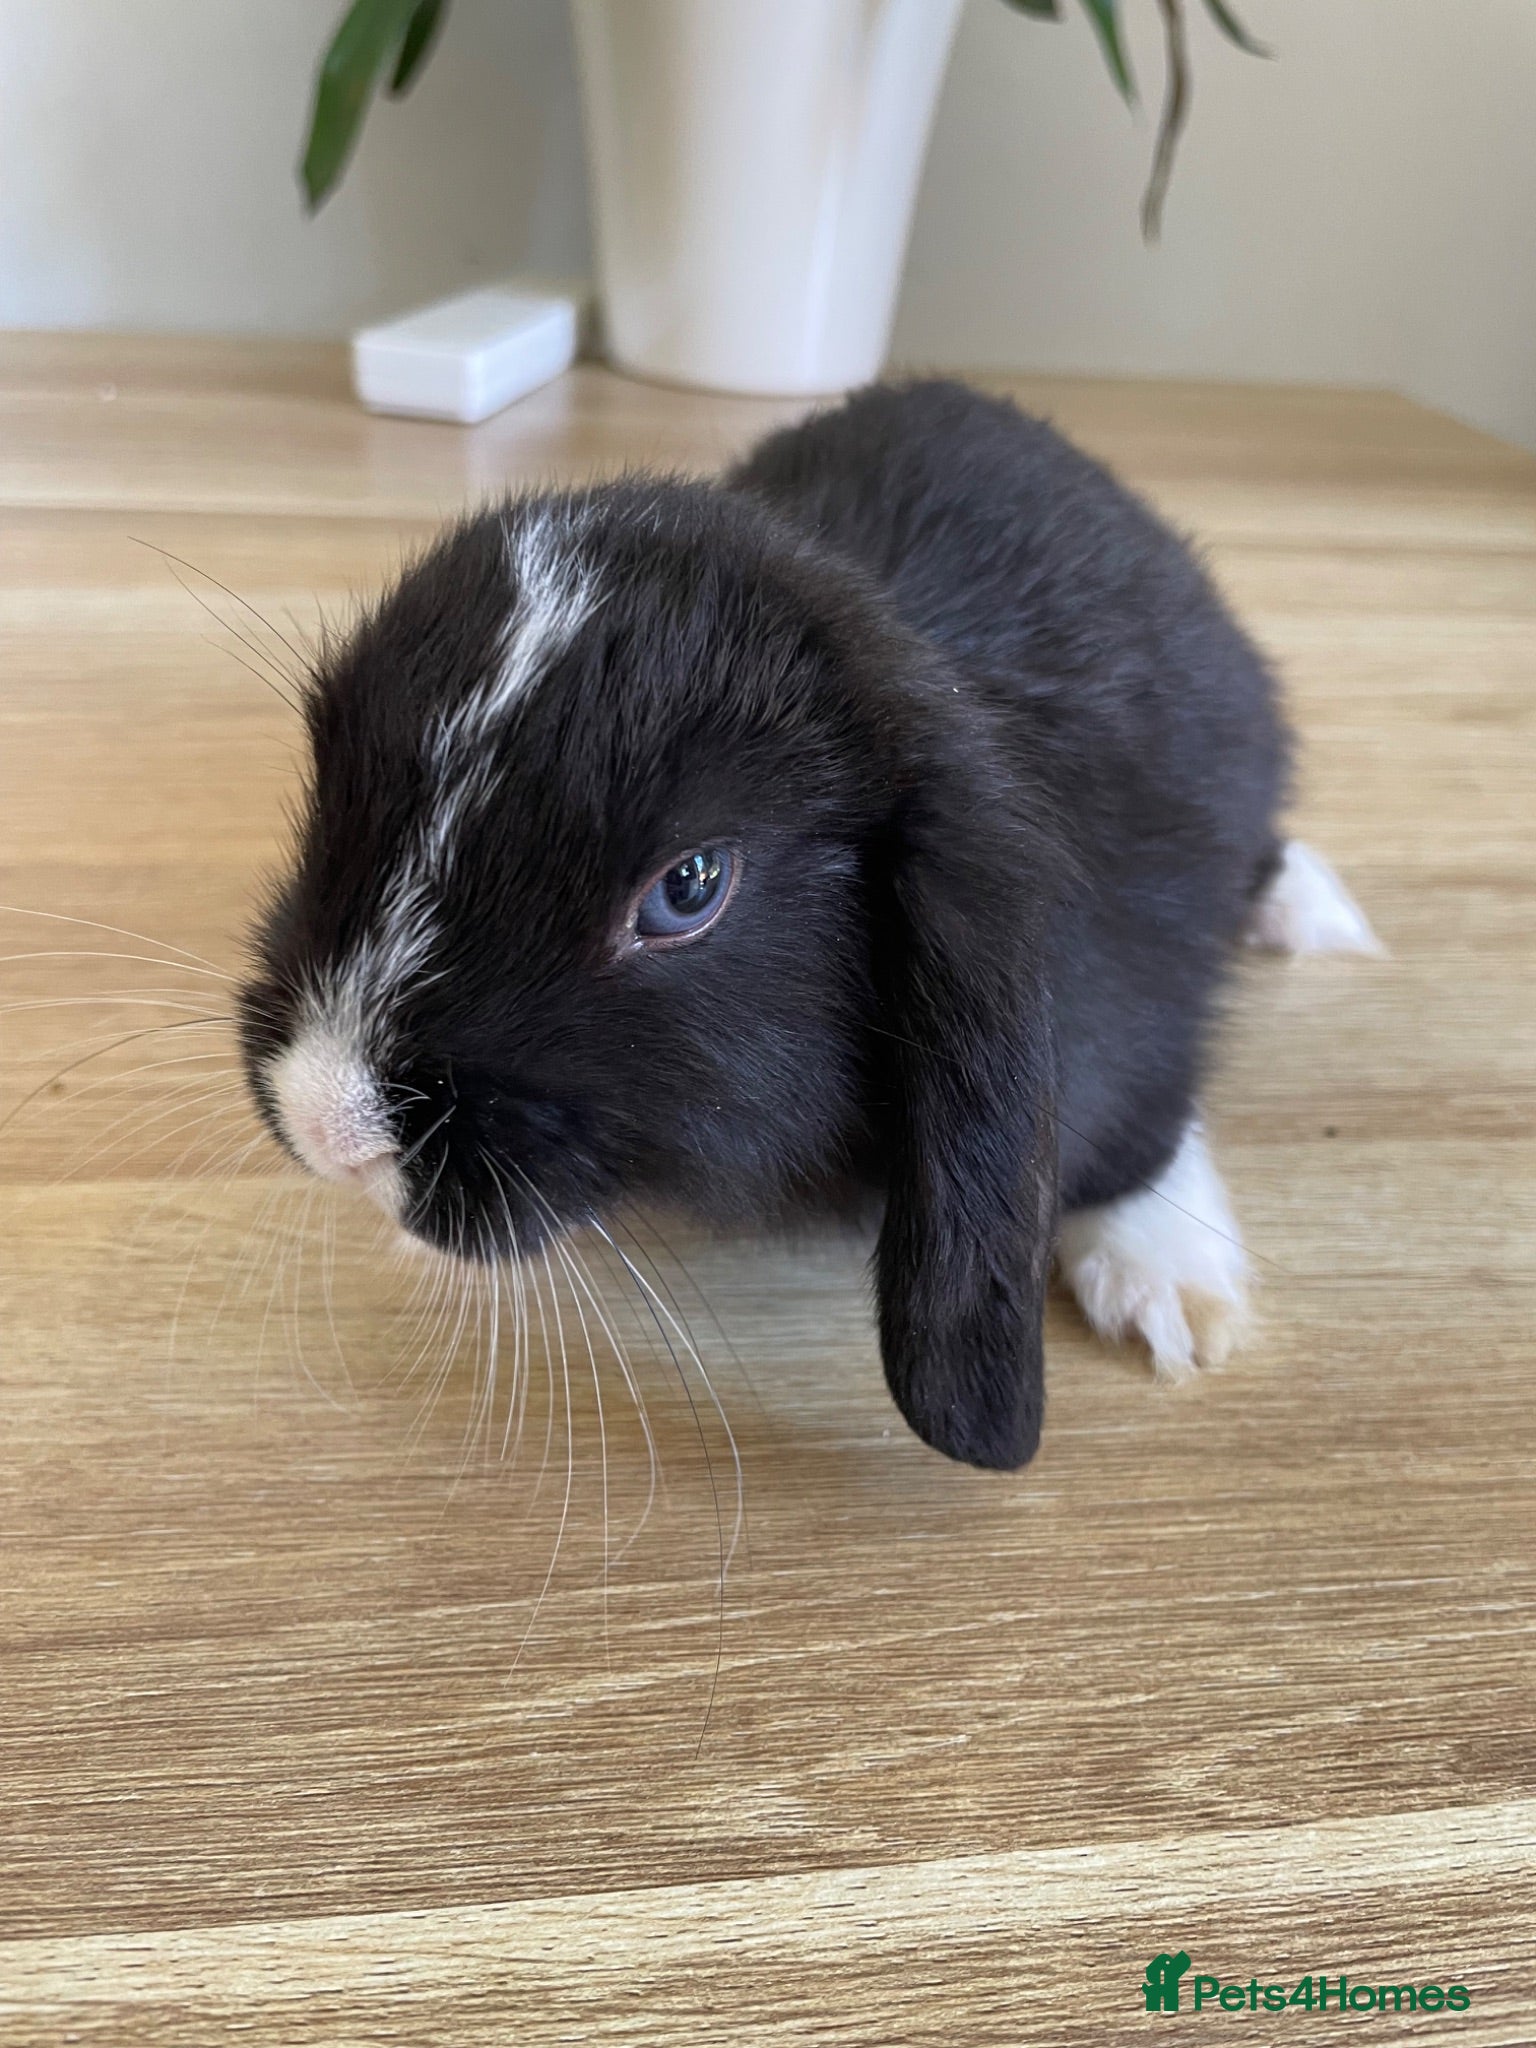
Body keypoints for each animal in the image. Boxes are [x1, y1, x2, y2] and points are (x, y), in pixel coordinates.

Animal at [238, 379, 1377, 1471]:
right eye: (328, 768)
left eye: (689, 887)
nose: (328, 1125)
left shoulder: (1131, 1000)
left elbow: (1135, 1136)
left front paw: (1163, 1286)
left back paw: (1309, 910)